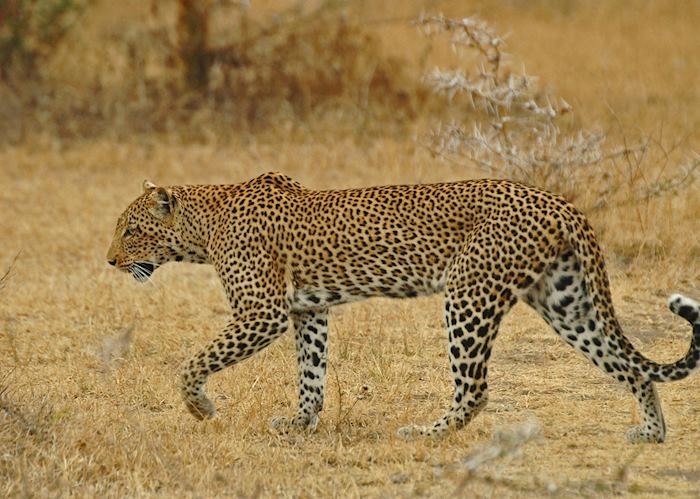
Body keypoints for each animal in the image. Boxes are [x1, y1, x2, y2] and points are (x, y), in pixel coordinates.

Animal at [106, 173, 700, 443]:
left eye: (131, 231)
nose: (110, 260)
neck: (204, 228)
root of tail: (560, 201)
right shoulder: (308, 311)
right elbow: (311, 373)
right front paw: (301, 422)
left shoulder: (263, 312)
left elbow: (194, 362)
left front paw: (200, 408)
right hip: (565, 301)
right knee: (630, 366)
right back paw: (651, 433)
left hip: (468, 294)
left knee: (475, 389)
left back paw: (428, 432)